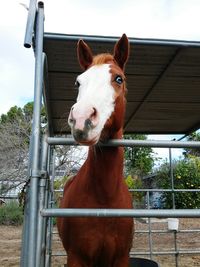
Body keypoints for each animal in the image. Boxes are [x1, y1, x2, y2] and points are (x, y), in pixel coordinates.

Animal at [57, 34, 134, 267]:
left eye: (119, 79)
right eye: (78, 82)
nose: (81, 118)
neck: (105, 199)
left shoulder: (121, 257)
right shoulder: (76, 257)